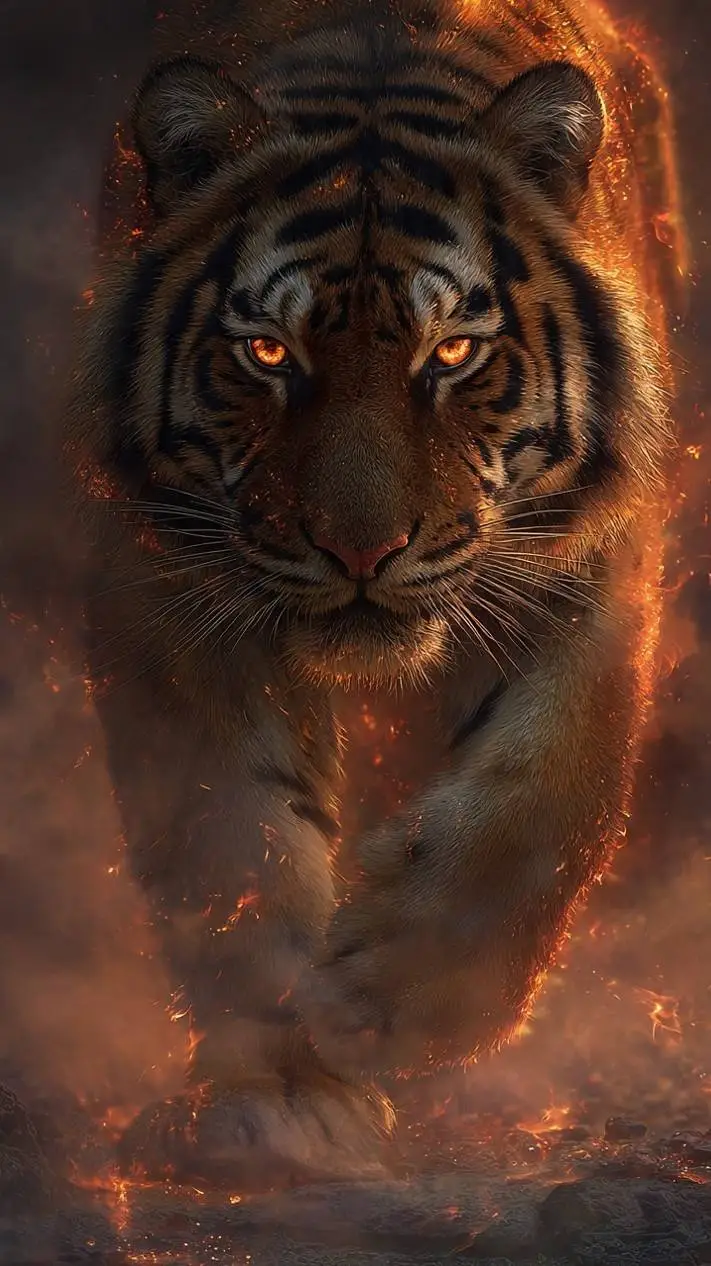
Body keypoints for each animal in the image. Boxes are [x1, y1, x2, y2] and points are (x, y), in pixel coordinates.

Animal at [64, 0, 684, 1188]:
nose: (362, 550)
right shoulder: (167, 583)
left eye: (452, 353)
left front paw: (380, 1002)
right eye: (268, 352)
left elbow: (542, 810)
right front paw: (280, 1091)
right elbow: (229, 833)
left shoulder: (594, 569)